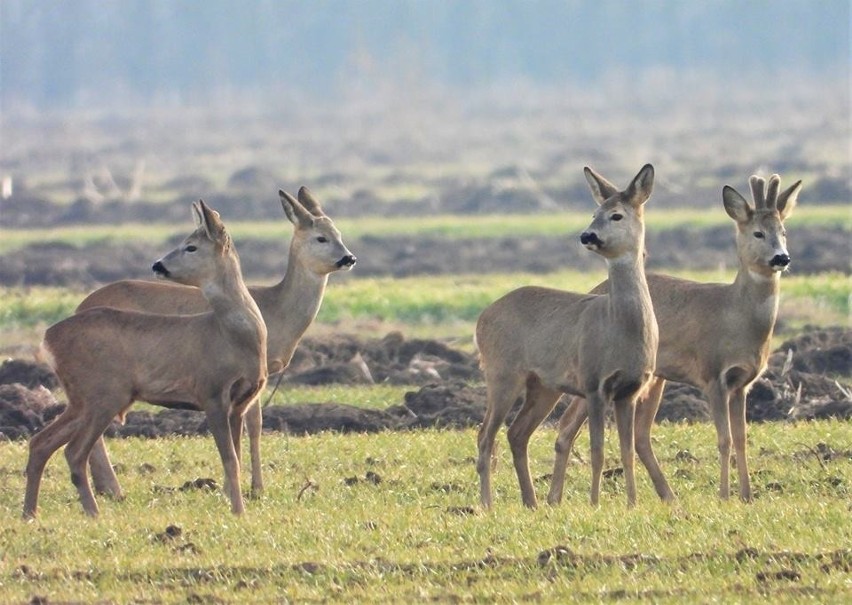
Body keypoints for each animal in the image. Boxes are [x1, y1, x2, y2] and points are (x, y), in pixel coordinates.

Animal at [24, 201, 266, 516]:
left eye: (191, 247)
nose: (157, 264)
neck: (233, 336)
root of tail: (48, 338)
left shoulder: (239, 402)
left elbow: (234, 457)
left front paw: (234, 506)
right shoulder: (210, 391)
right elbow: (230, 460)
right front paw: (238, 511)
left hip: (82, 398)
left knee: (41, 442)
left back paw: (30, 514)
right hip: (104, 392)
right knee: (74, 452)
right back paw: (93, 513)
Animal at [71, 188, 354, 500]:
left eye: (339, 233)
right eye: (321, 238)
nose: (349, 258)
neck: (276, 309)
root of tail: (78, 308)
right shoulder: (255, 371)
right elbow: (255, 424)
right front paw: (255, 488)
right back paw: (111, 488)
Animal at [476, 163, 664, 508]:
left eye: (616, 215)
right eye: (594, 212)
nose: (587, 235)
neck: (620, 327)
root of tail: (481, 318)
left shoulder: (630, 389)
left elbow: (627, 452)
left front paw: (632, 504)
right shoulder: (593, 382)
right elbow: (598, 450)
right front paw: (595, 503)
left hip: (543, 386)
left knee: (516, 433)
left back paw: (532, 502)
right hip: (502, 373)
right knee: (485, 435)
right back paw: (486, 505)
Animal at [548, 173, 804, 504]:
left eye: (783, 232)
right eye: (758, 233)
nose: (781, 257)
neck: (735, 315)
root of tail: (593, 291)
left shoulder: (742, 383)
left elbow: (742, 438)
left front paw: (747, 496)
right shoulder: (713, 375)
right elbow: (724, 439)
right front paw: (724, 495)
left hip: (655, 377)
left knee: (640, 435)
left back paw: (668, 496)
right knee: (567, 425)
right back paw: (555, 497)